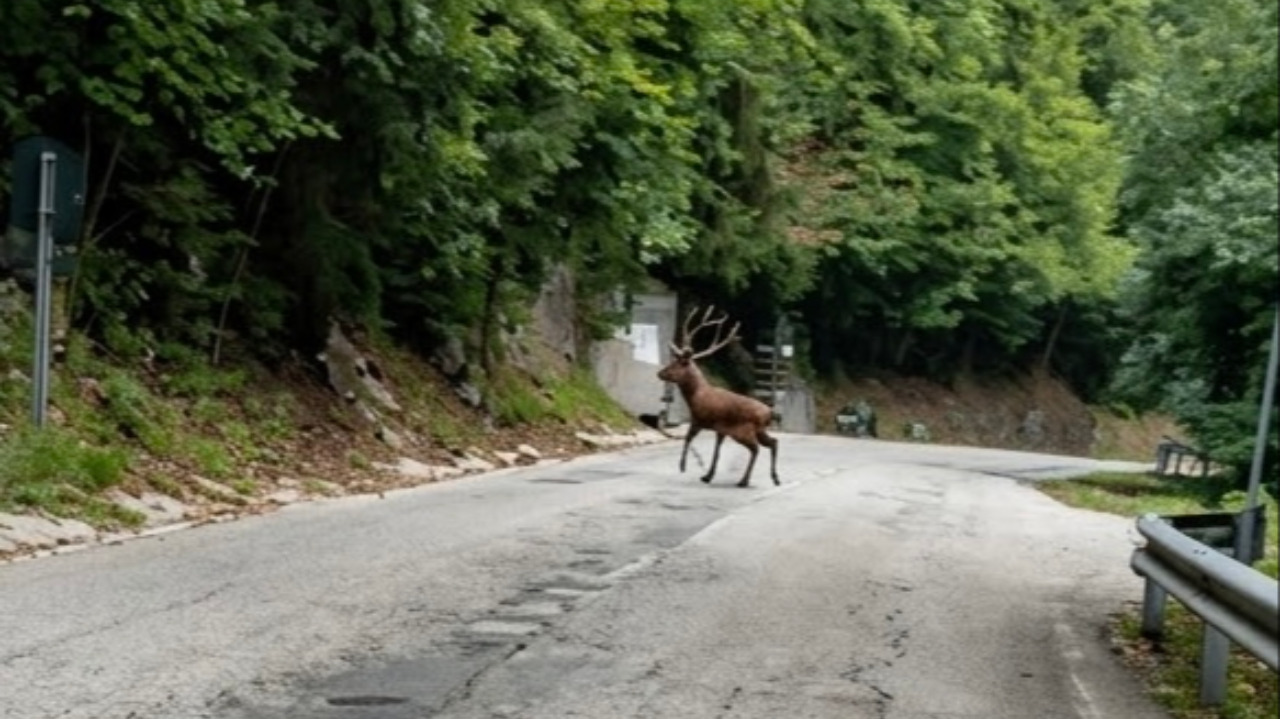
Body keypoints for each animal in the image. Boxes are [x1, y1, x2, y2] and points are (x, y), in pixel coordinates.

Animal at [657, 305, 779, 488]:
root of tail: (769, 413)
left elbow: (687, 439)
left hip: (744, 431)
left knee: (756, 448)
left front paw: (683, 466)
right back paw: (775, 478)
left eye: (676, 364)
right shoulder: (720, 429)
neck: (695, 397)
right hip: (759, 430)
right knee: (773, 443)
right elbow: (717, 451)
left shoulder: (699, 419)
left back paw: (744, 481)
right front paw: (707, 475)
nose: (660, 373)